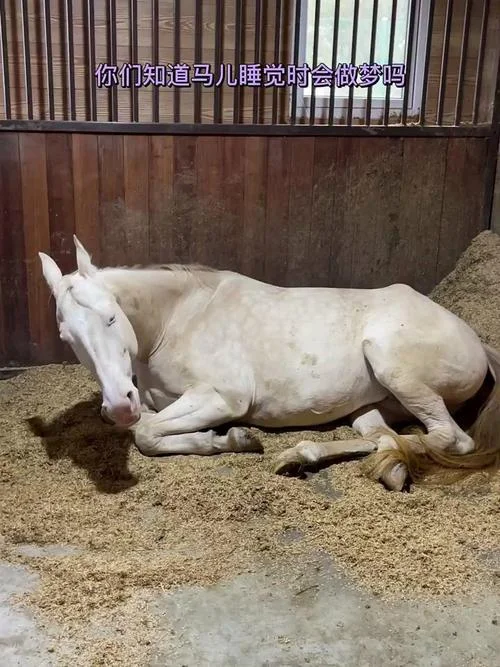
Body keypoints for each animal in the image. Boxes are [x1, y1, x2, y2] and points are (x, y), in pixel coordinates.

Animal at [38, 236, 500, 491]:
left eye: (111, 317)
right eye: (67, 338)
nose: (119, 405)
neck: (178, 320)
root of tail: (476, 340)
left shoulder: (222, 398)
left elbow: (146, 435)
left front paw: (231, 439)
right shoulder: (152, 400)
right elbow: (143, 426)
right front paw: (224, 439)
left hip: (395, 367)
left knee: (451, 439)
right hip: (371, 407)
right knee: (383, 437)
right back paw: (331, 461)